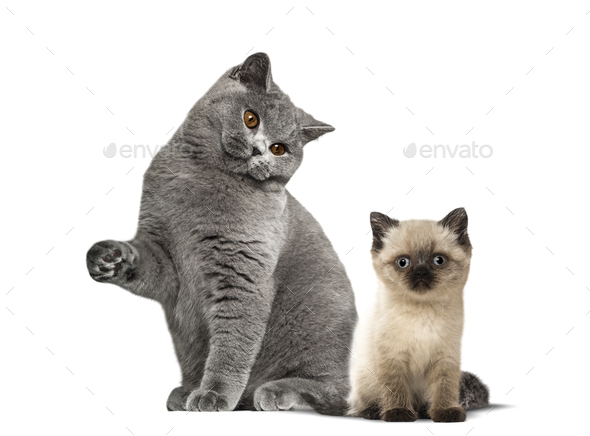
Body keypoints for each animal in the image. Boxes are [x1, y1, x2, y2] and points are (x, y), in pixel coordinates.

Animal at [85, 52, 356, 414]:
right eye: (251, 119)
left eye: (279, 149)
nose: (259, 150)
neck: (205, 179)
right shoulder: (163, 254)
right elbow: (147, 267)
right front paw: (107, 258)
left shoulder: (242, 273)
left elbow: (232, 342)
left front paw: (214, 394)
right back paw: (187, 391)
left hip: (318, 322)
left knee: (332, 392)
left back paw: (273, 392)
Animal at [352, 209, 490, 420]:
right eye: (403, 262)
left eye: (438, 260)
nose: (421, 273)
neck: (422, 313)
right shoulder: (392, 356)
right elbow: (395, 388)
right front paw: (398, 413)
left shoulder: (445, 356)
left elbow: (444, 387)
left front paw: (446, 412)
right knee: (362, 404)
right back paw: (376, 412)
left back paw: (425, 411)